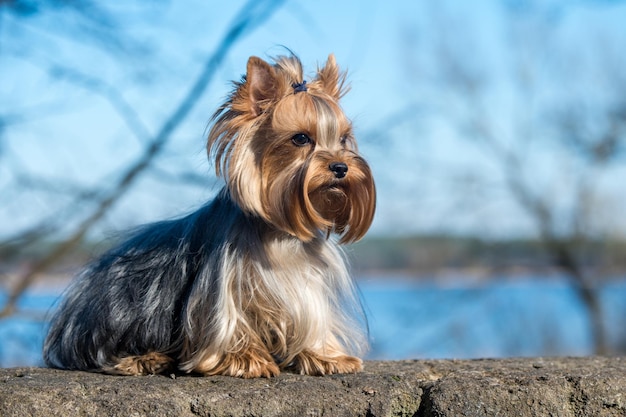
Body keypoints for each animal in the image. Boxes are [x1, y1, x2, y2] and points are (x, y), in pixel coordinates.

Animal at [45, 54, 376, 376]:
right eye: (300, 138)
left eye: (343, 139)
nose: (341, 167)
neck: (280, 232)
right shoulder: (224, 283)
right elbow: (229, 320)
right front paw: (244, 359)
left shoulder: (307, 281)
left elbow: (313, 316)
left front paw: (326, 356)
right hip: (121, 313)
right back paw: (145, 359)